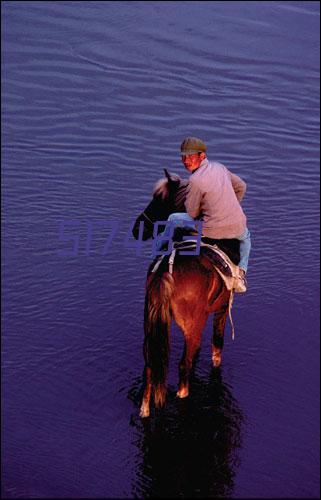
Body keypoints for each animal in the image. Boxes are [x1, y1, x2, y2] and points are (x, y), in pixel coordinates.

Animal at [131, 170, 239, 416]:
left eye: (159, 200)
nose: (137, 228)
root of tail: (165, 272)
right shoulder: (220, 310)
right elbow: (216, 345)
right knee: (183, 365)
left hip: (150, 322)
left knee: (151, 364)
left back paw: (145, 410)